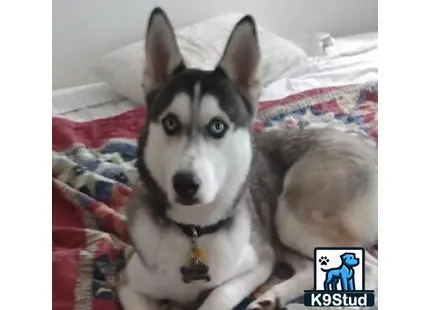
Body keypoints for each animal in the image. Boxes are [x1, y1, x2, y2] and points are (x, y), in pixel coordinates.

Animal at [116, 7, 376, 310]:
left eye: (218, 126)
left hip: (291, 217)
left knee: (370, 268)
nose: (185, 184)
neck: (194, 232)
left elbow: (219, 293)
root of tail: (368, 146)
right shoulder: (127, 282)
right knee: (310, 267)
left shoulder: (259, 261)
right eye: (170, 123)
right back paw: (272, 297)